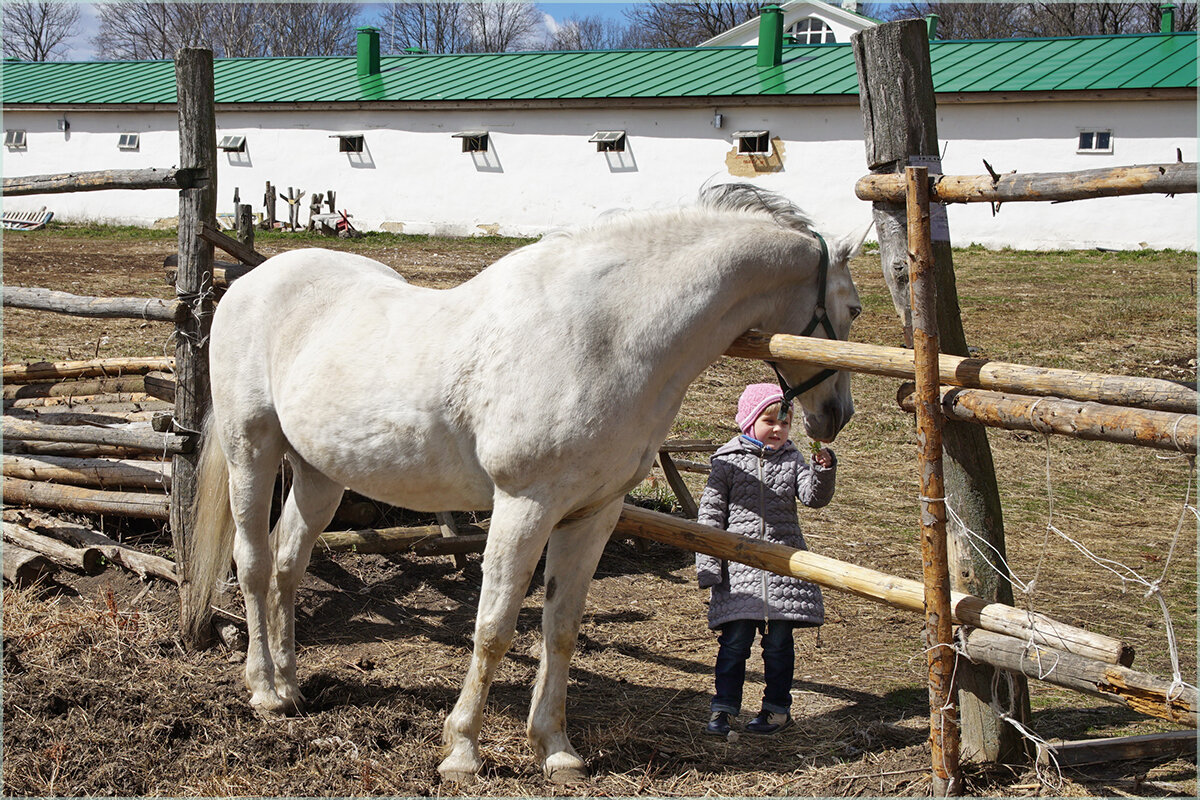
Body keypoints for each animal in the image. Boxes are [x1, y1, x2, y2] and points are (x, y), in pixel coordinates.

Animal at [184, 184, 864, 786]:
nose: (837, 415)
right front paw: (462, 752)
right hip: (253, 451)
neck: (610, 335)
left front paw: (556, 750)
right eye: (854, 309)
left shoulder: (593, 514)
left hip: (320, 473)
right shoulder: (524, 505)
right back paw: (265, 690)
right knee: (253, 562)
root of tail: (247, 284)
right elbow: (493, 627)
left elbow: (560, 628)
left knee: (288, 564)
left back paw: (293, 684)